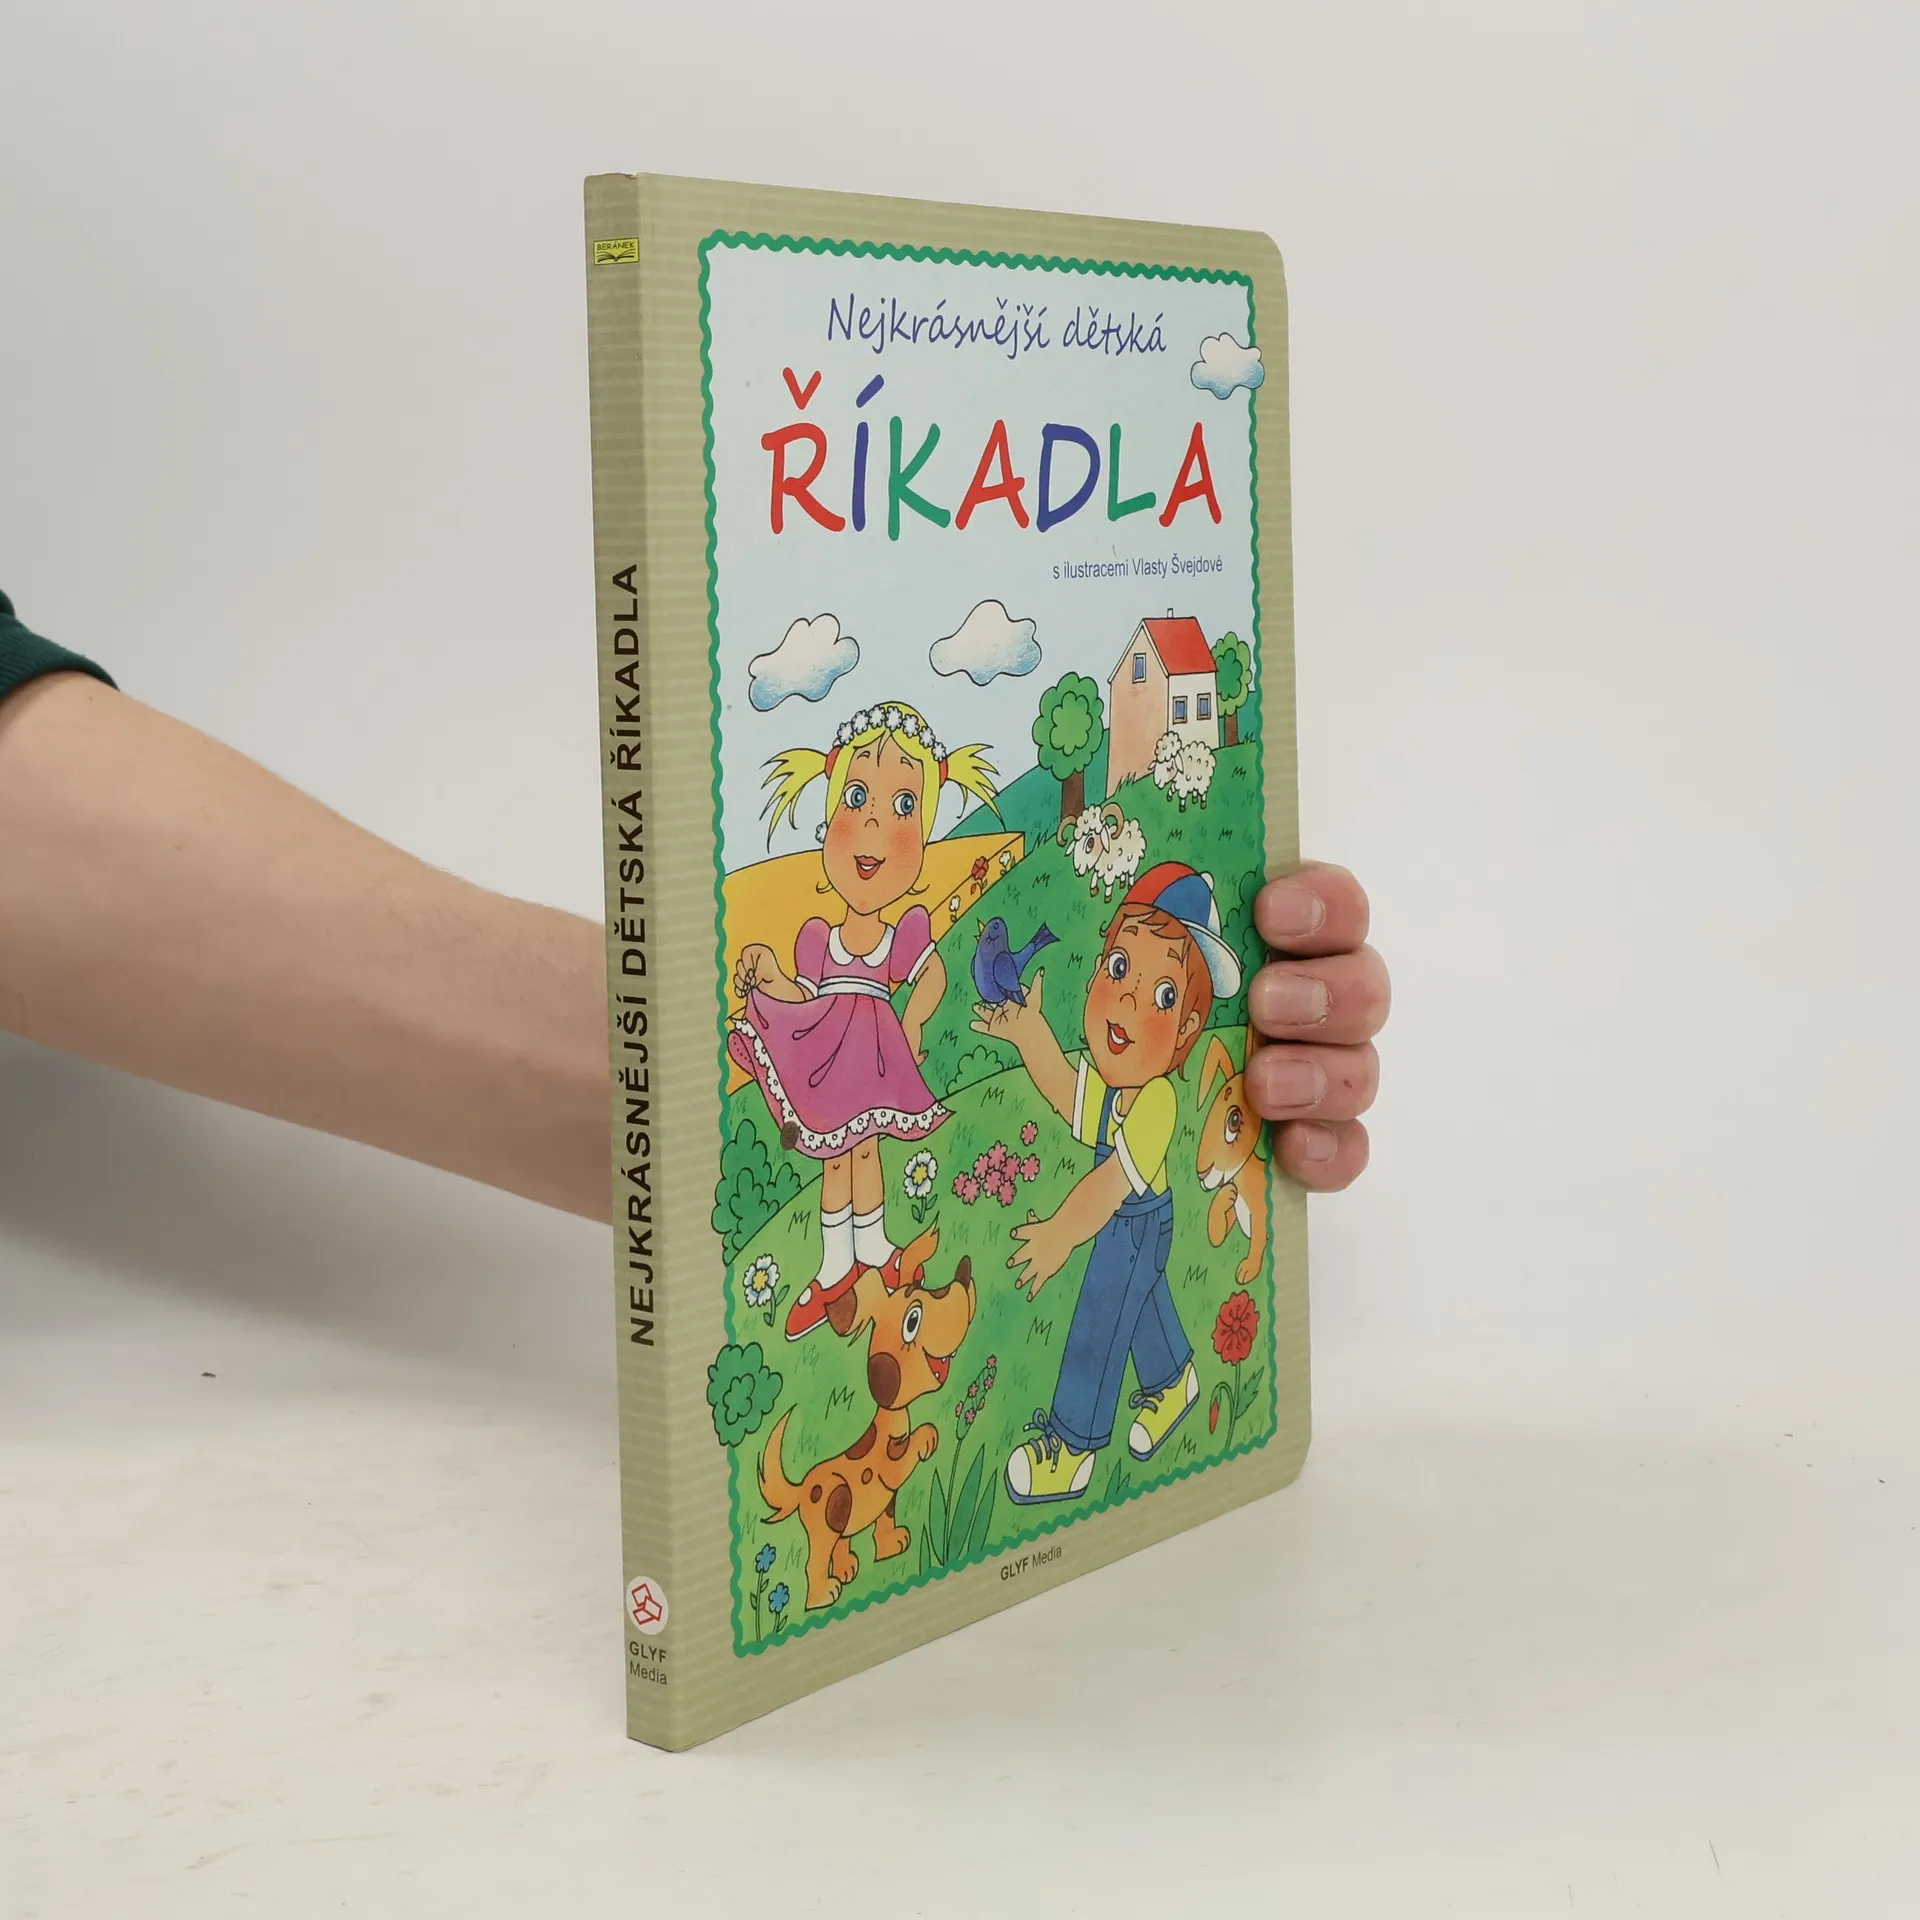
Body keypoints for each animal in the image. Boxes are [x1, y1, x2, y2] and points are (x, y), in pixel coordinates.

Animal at [758, 1225, 977, 1610]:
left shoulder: (888, 1499)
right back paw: (823, 1596)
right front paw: (927, 1438)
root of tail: (802, 1489)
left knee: (841, 1544)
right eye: (912, 1320)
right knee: (815, 1560)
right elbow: (904, 1455)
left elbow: (887, 1520)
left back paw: (848, 1569)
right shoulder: (890, 1465)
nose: (964, 1275)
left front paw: (893, 1546)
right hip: (832, 1509)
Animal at [1196, 1029, 1270, 1286]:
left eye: (1234, 1120)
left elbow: (1258, 1240)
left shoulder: (1260, 1215)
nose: (1202, 1173)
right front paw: (1226, 1194)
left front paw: (1248, 1270)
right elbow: (1217, 1233)